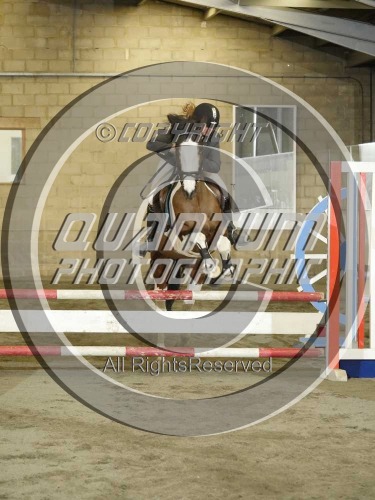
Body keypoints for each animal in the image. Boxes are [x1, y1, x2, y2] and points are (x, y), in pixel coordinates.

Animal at [142, 119, 234, 310]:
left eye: (199, 151)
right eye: (177, 151)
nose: (189, 189)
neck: (196, 199)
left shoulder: (219, 228)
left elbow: (223, 242)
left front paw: (226, 270)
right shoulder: (182, 232)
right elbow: (198, 236)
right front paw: (210, 263)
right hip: (160, 258)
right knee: (160, 287)